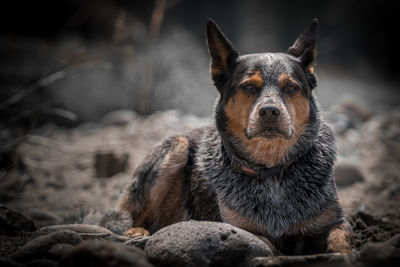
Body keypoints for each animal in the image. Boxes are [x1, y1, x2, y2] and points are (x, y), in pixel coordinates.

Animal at [117, 18, 352, 255]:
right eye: (248, 87)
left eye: (291, 87)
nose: (269, 111)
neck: (271, 170)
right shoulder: (237, 227)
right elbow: (265, 243)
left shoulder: (334, 220)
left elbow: (339, 238)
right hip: (177, 146)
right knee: (136, 215)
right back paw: (137, 232)